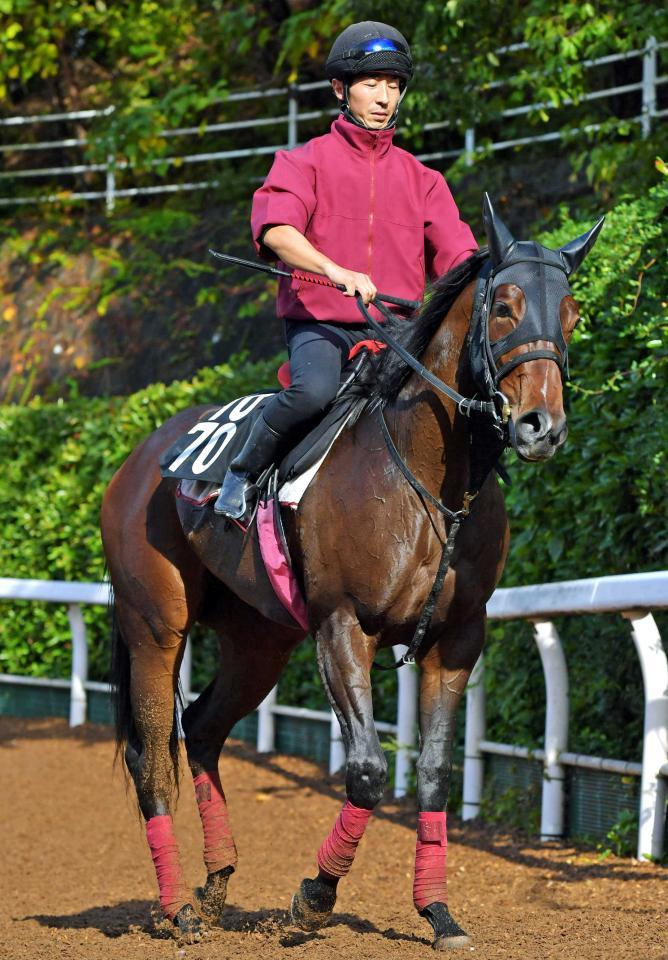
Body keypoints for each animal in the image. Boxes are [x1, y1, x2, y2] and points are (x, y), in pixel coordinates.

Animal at [100, 197, 604, 952]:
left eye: (571, 312)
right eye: (505, 306)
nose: (542, 425)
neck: (426, 482)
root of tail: (138, 460)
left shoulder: (458, 639)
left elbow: (433, 774)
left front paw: (438, 912)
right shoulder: (342, 626)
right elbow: (367, 771)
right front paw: (313, 898)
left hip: (259, 642)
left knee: (205, 728)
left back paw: (216, 884)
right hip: (155, 626)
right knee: (151, 752)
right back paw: (176, 910)